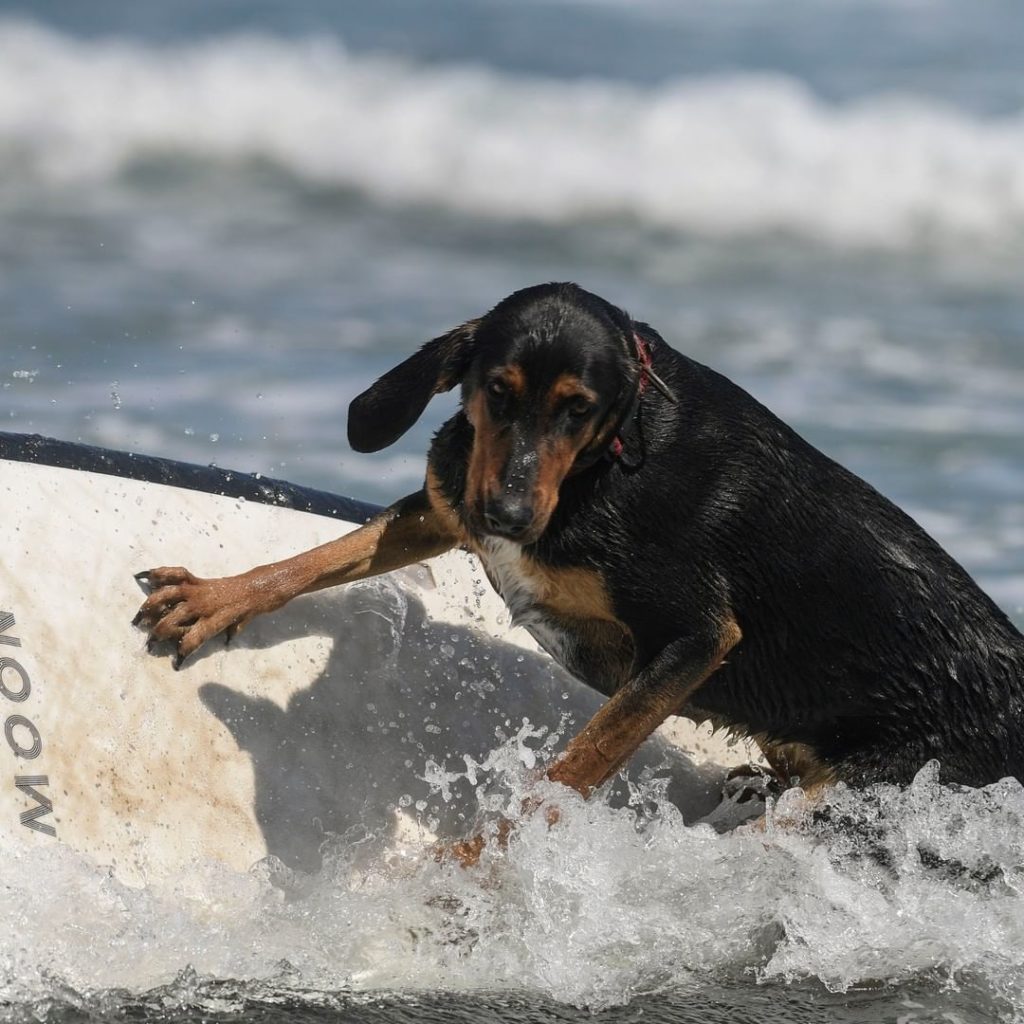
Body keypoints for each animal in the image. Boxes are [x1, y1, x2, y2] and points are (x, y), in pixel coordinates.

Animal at [134, 280, 1024, 839]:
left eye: (580, 410)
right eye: (497, 391)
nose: (508, 514)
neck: (606, 465)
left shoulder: (695, 638)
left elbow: (572, 768)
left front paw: (477, 859)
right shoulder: (448, 500)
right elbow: (323, 555)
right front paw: (214, 598)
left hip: (871, 786)